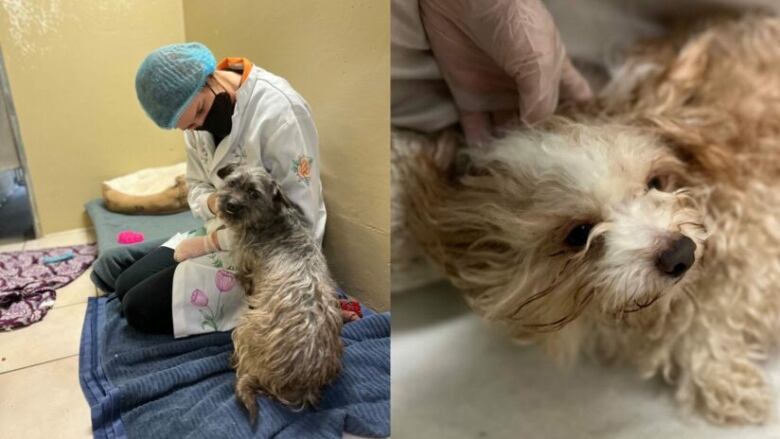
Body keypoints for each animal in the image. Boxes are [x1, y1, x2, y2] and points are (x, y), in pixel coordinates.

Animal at [216, 164, 344, 422]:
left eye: (254, 194)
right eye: (232, 183)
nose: (231, 205)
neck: (270, 219)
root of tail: (304, 384)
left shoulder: (246, 269)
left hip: (244, 328)